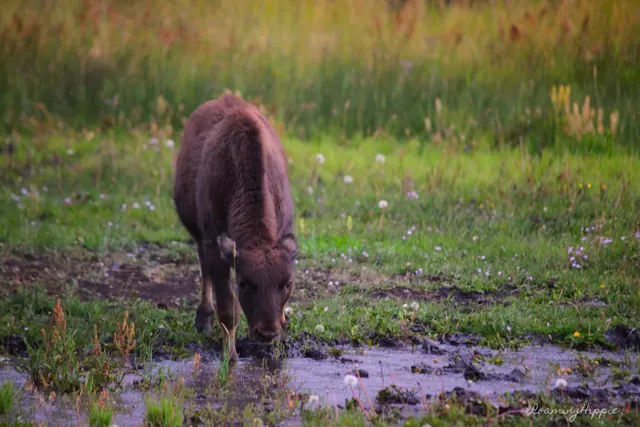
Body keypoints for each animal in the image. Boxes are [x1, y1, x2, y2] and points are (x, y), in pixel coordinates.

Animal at [173, 93, 297, 362]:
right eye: (244, 283)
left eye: (287, 283)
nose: (266, 332)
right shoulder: (214, 244)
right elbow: (228, 308)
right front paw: (231, 357)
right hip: (199, 234)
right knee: (204, 269)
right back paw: (203, 318)